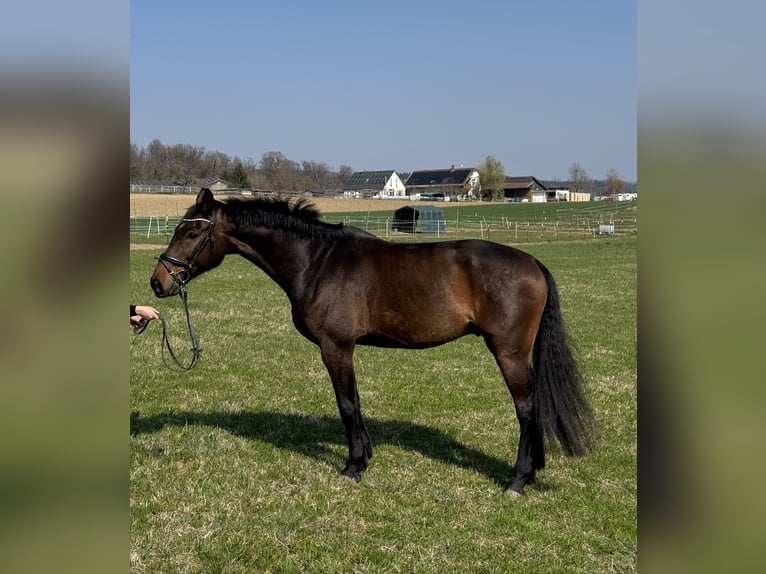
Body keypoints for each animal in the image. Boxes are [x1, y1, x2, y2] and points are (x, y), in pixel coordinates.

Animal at [150, 188, 593, 496]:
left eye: (192, 231)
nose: (159, 282)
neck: (318, 261)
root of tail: (532, 262)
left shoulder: (336, 347)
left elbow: (347, 404)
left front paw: (352, 466)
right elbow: (355, 402)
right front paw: (364, 458)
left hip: (508, 352)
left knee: (526, 408)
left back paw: (517, 481)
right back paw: (531, 471)